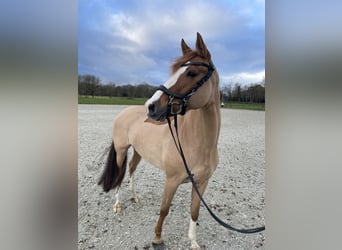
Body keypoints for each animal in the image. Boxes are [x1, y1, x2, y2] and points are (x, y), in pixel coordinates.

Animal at [97, 32, 220, 249]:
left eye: (192, 72)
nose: (151, 106)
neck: (199, 144)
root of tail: (124, 112)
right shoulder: (171, 180)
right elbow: (164, 209)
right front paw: (157, 238)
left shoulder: (202, 183)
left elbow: (194, 211)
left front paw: (193, 242)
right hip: (121, 150)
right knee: (120, 174)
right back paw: (118, 205)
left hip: (138, 151)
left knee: (132, 170)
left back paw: (134, 197)